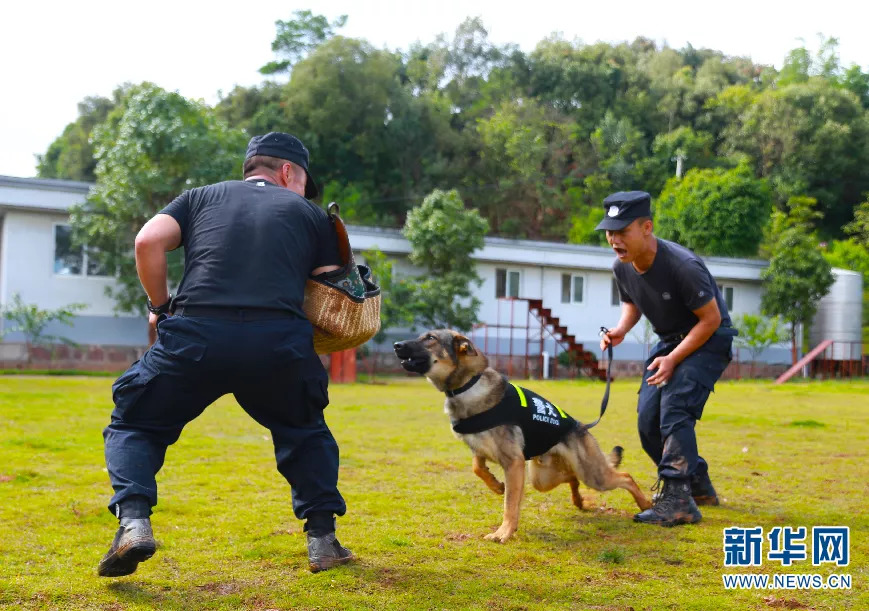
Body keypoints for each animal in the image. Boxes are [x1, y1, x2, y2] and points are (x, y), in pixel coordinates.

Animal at [394, 332, 652, 544]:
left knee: (625, 476)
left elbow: (510, 504)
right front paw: (496, 485)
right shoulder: (482, 451)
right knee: (571, 477)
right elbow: (478, 468)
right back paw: (579, 500)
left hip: (593, 475)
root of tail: (580, 426)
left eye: (430, 338)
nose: (396, 344)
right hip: (542, 478)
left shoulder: (513, 463)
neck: (469, 384)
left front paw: (503, 532)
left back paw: (645, 504)